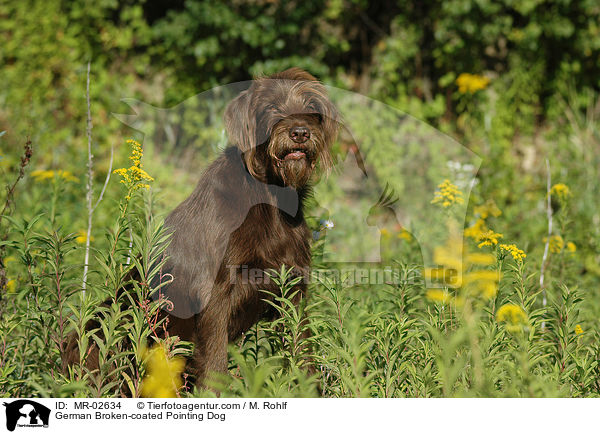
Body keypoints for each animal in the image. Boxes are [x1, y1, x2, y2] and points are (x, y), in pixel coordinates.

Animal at [159, 68, 340, 386]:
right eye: (272, 107)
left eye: (312, 108)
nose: (300, 133)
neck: (270, 197)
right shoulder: (216, 293)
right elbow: (215, 362)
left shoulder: (294, 289)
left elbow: (303, 350)